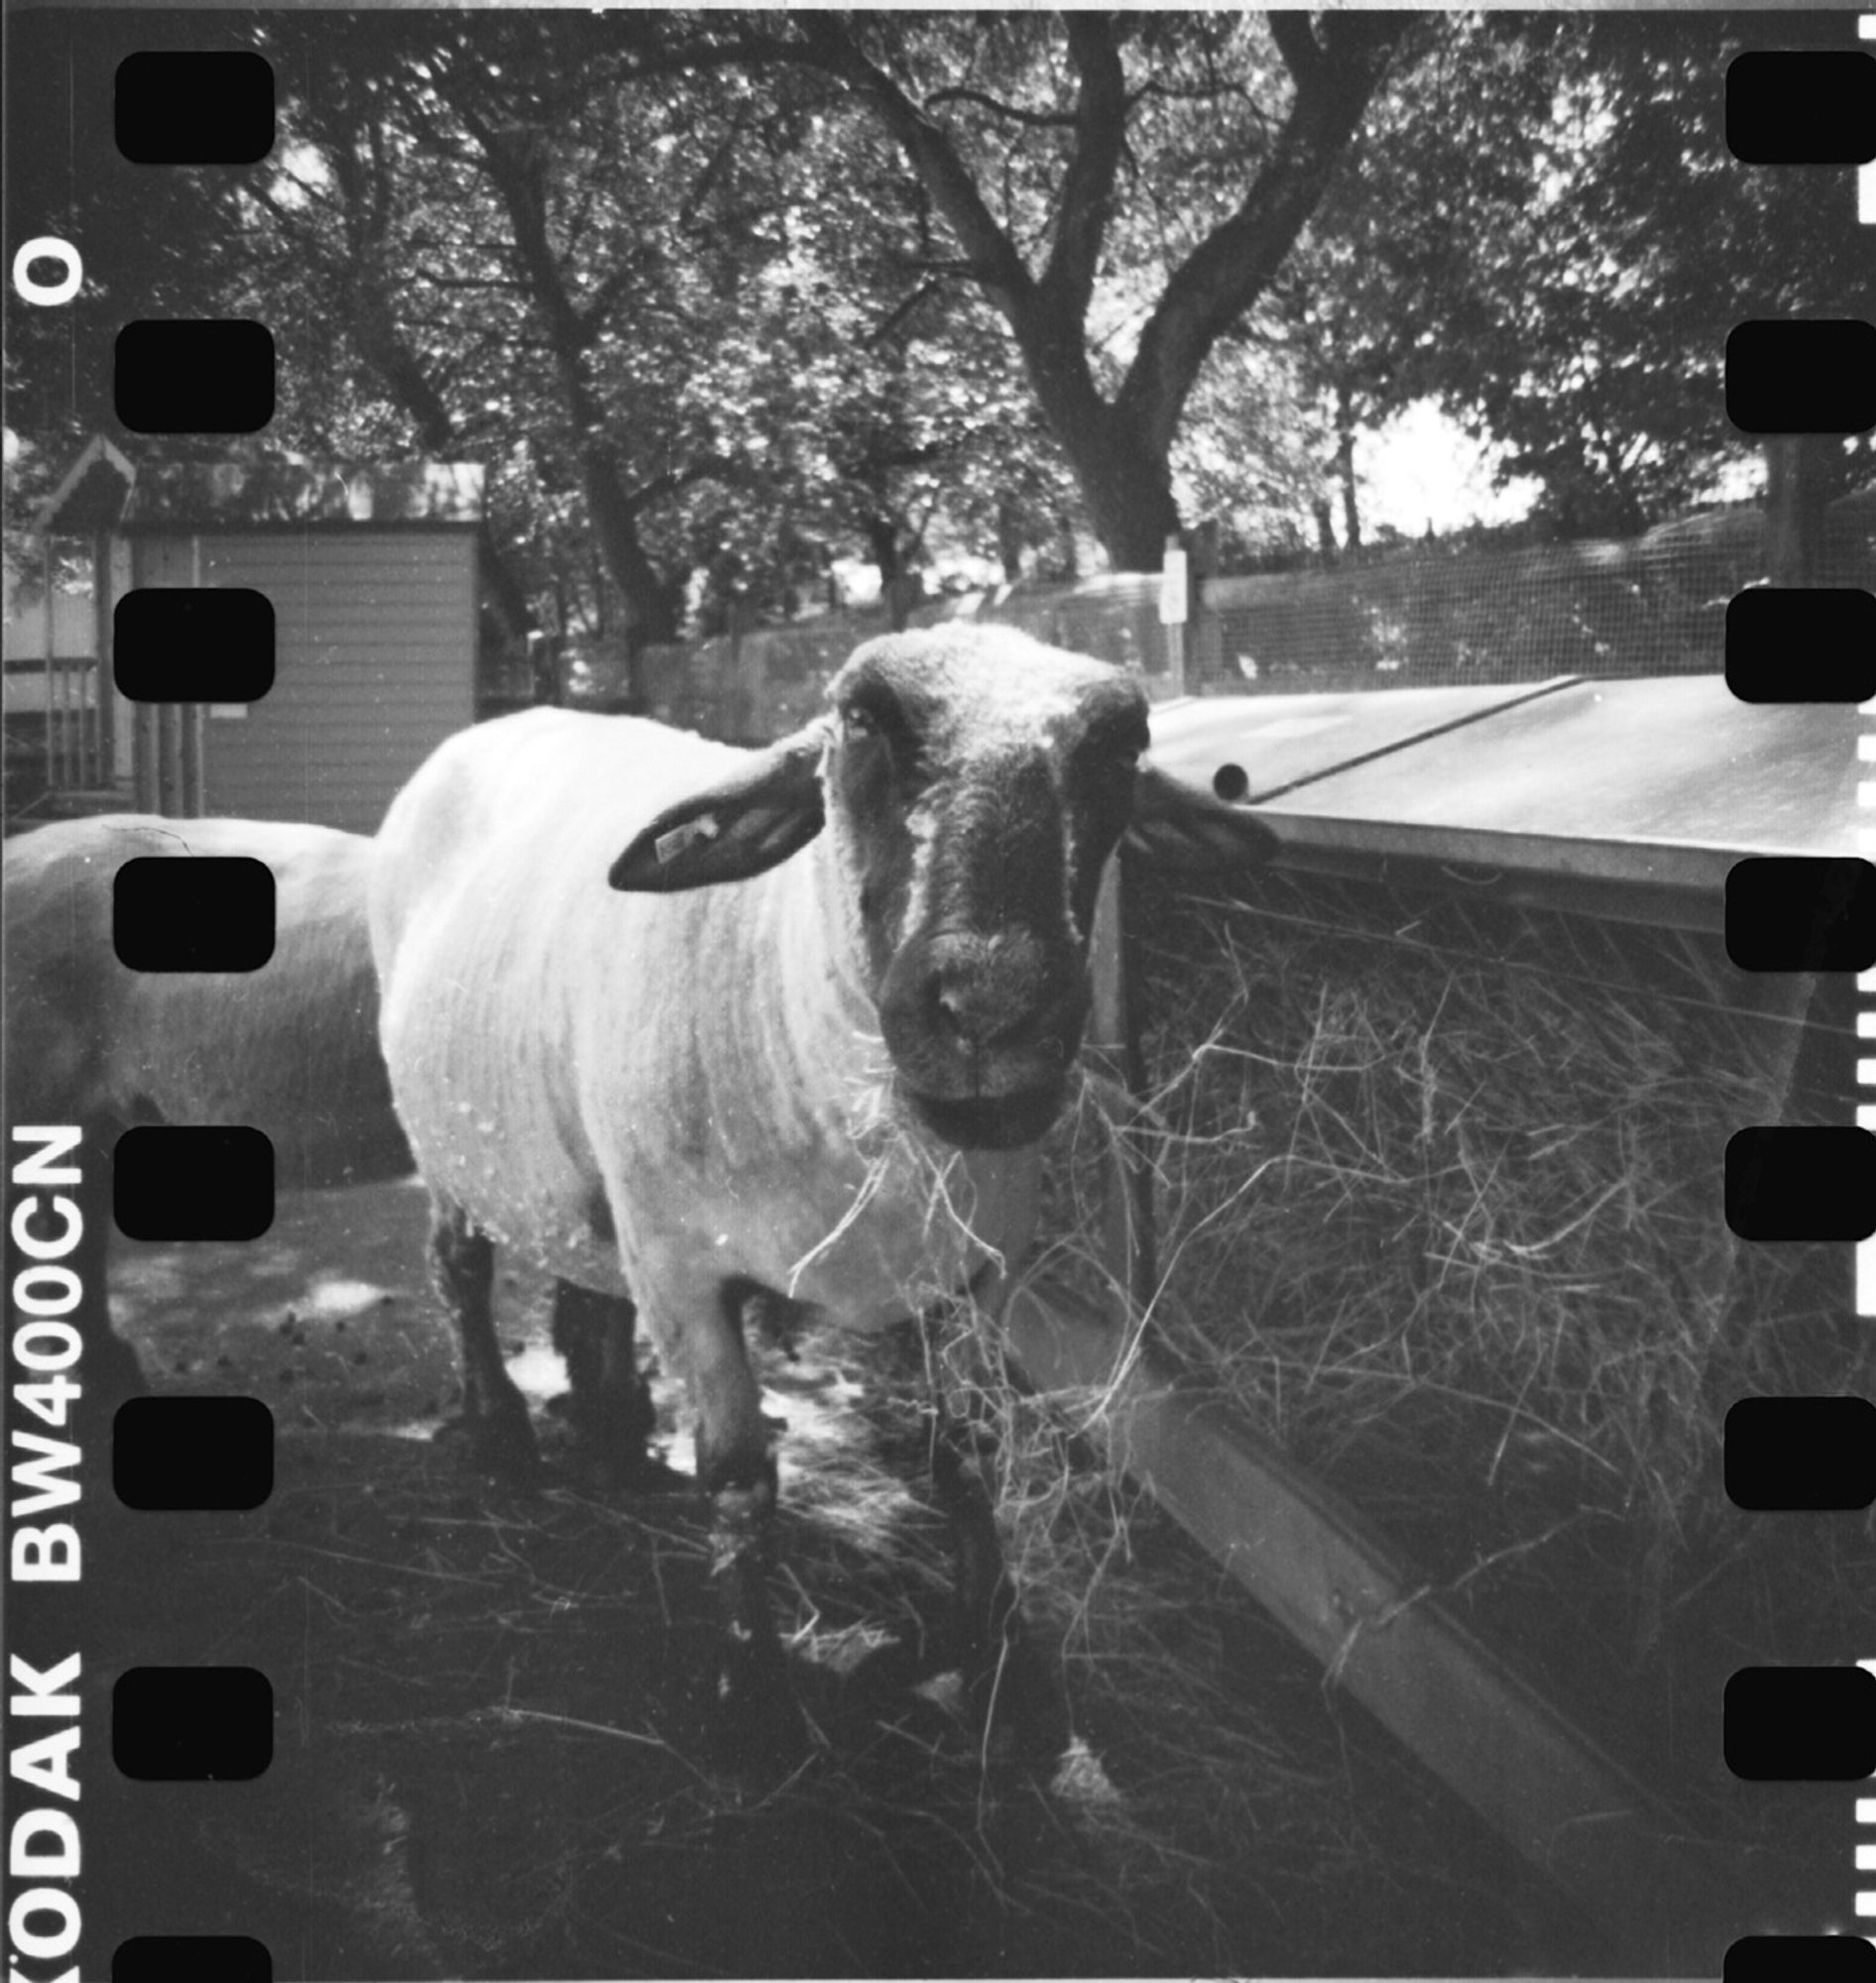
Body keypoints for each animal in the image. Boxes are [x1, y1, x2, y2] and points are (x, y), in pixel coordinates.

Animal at [365, 631, 1269, 1753]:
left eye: (1123, 743)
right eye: (862, 720)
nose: (993, 1009)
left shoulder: (977, 1274)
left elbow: (965, 1457)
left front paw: (1001, 1659)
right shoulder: (686, 1274)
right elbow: (739, 1481)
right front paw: (752, 1692)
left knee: (587, 1287)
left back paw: (612, 1425)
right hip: (447, 1144)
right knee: (460, 1270)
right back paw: (500, 1432)